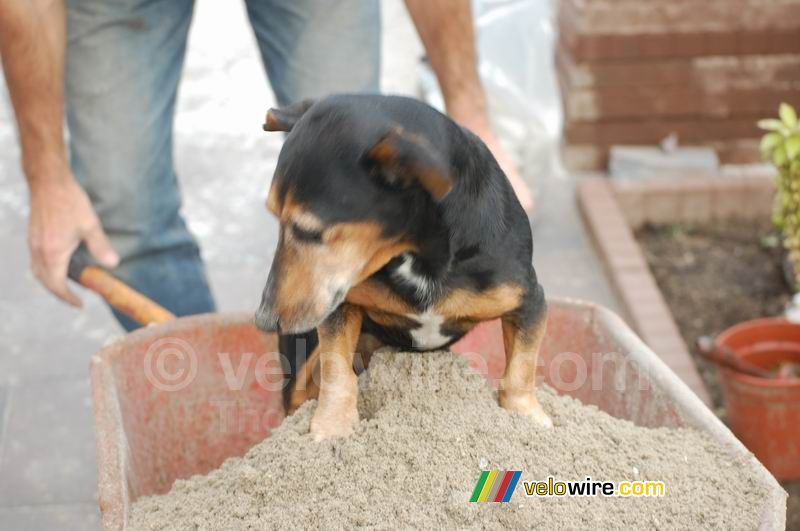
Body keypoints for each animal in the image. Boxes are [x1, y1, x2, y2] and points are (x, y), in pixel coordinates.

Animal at [256, 94, 552, 440]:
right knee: (298, 392)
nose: (264, 320)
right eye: (275, 218)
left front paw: (526, 416)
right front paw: (333, 427)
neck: (418, 249)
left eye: (308, 231)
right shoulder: (339, 303)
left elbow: (521, 368)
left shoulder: (529, 300)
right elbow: (336, 370)